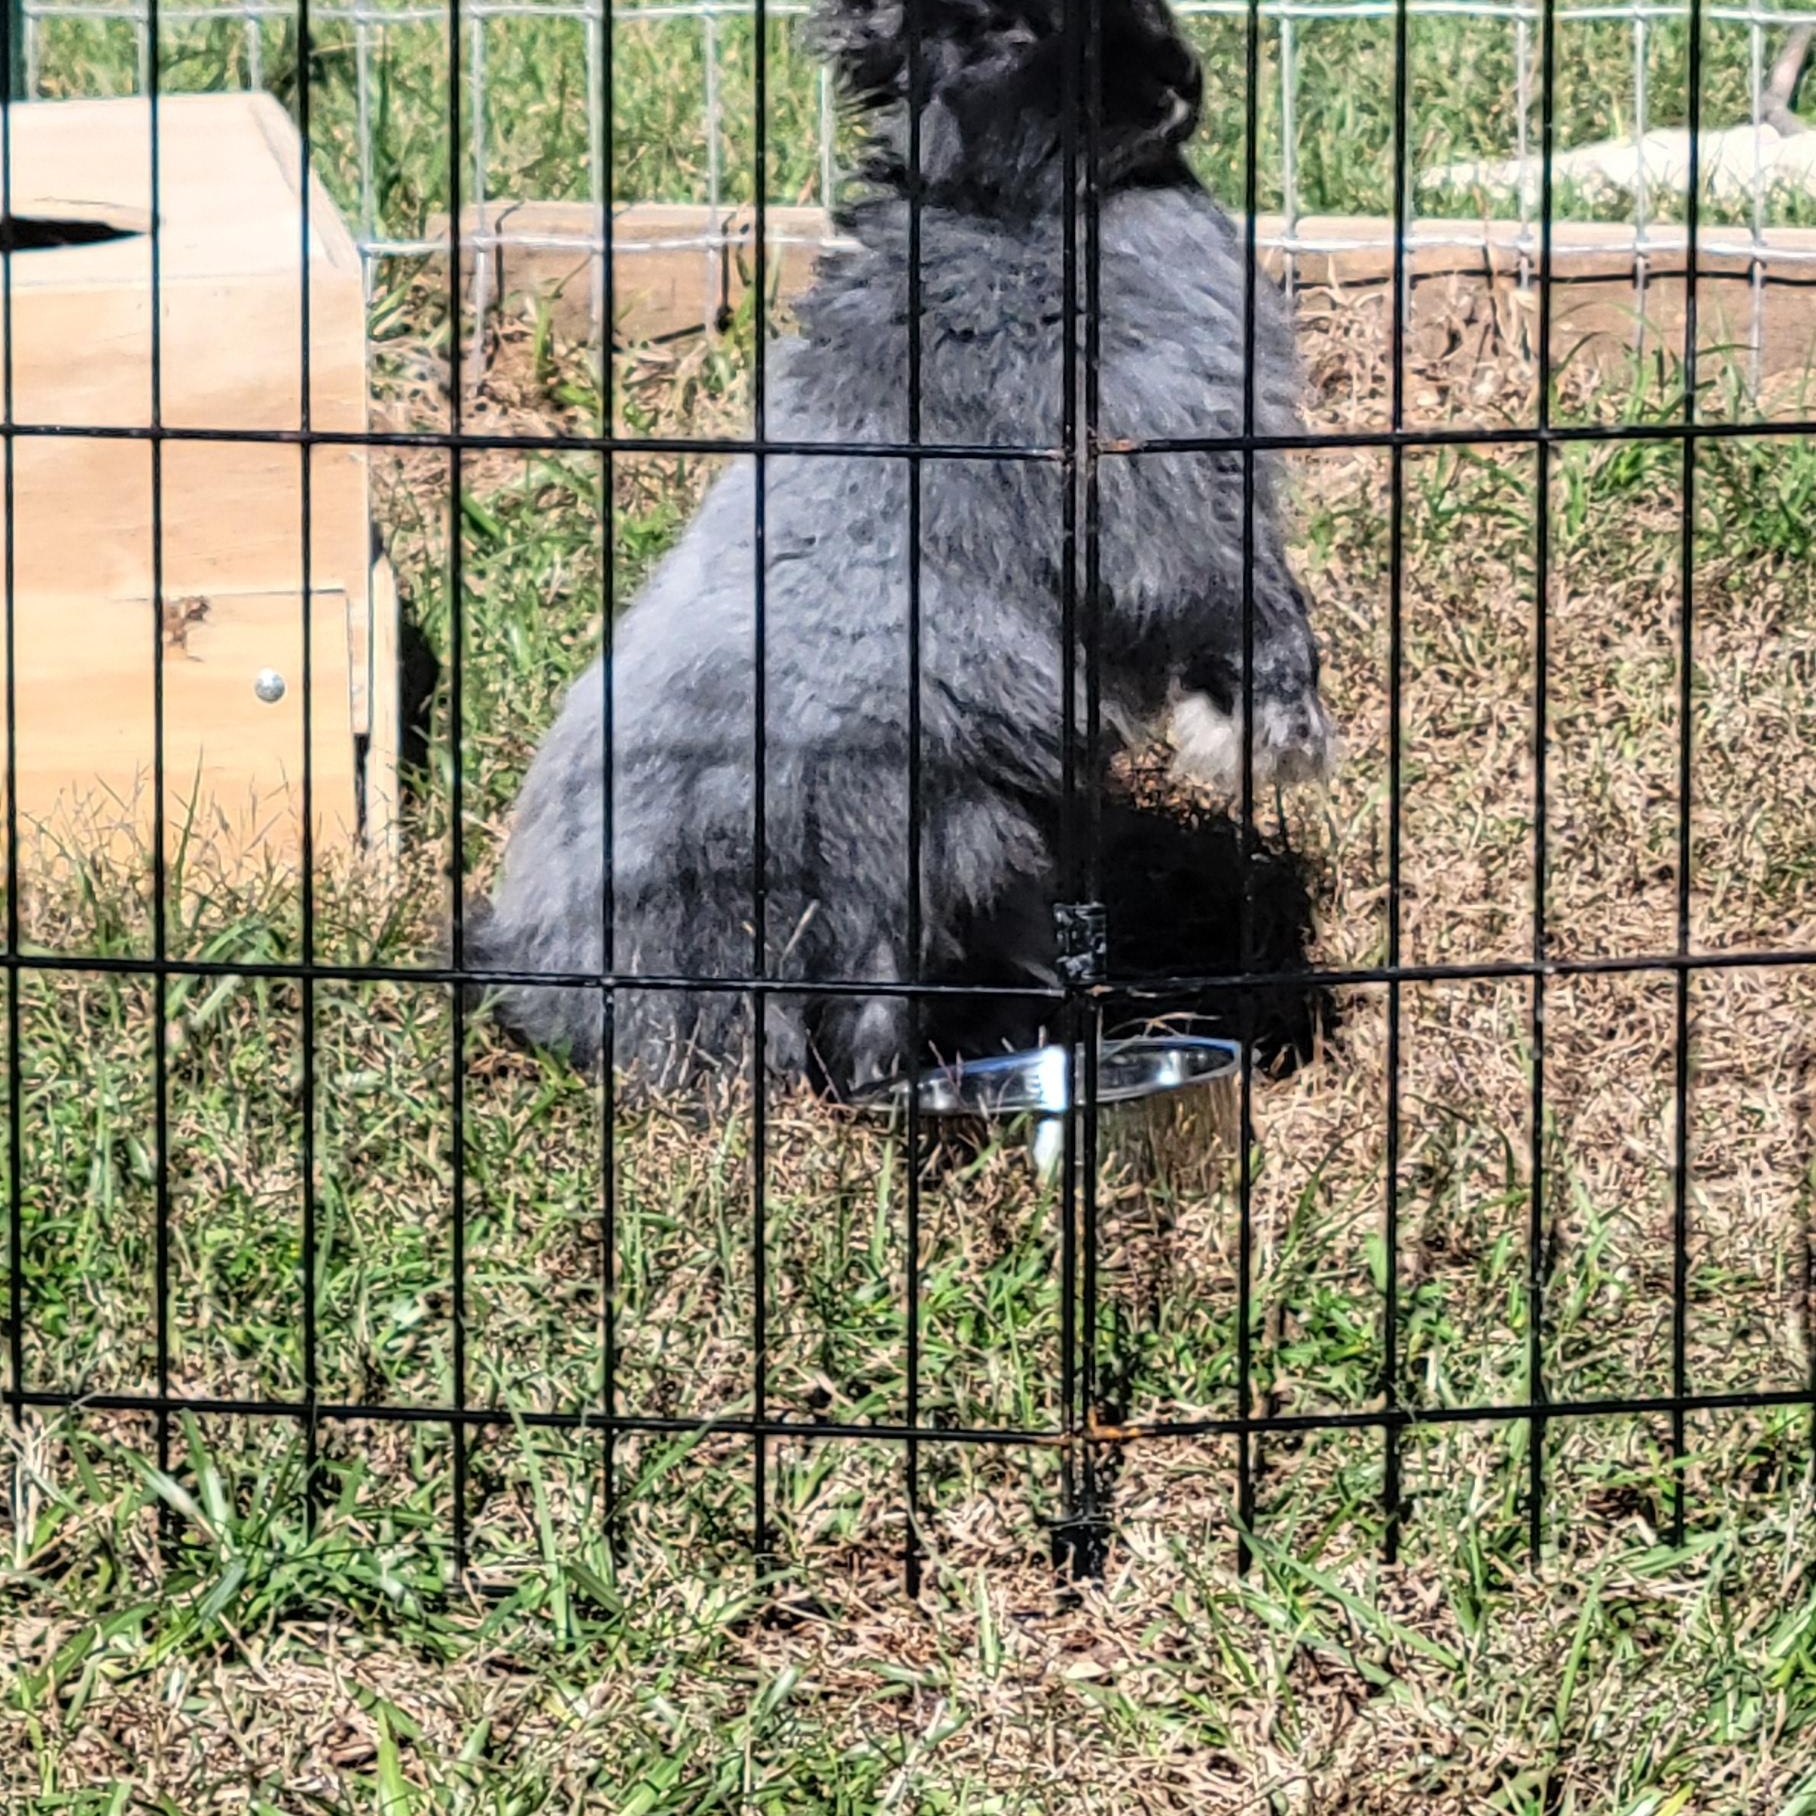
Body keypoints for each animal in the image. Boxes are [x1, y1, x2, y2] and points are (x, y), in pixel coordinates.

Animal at [465, 0, 1336, 1098]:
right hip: (880, 846)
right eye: (1007, 31)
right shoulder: (1158, 514)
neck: (1019, 221)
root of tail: (545, 972)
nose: (1181, 80)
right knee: (849, 1011)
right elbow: (1246, 613)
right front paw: (1282, 737)